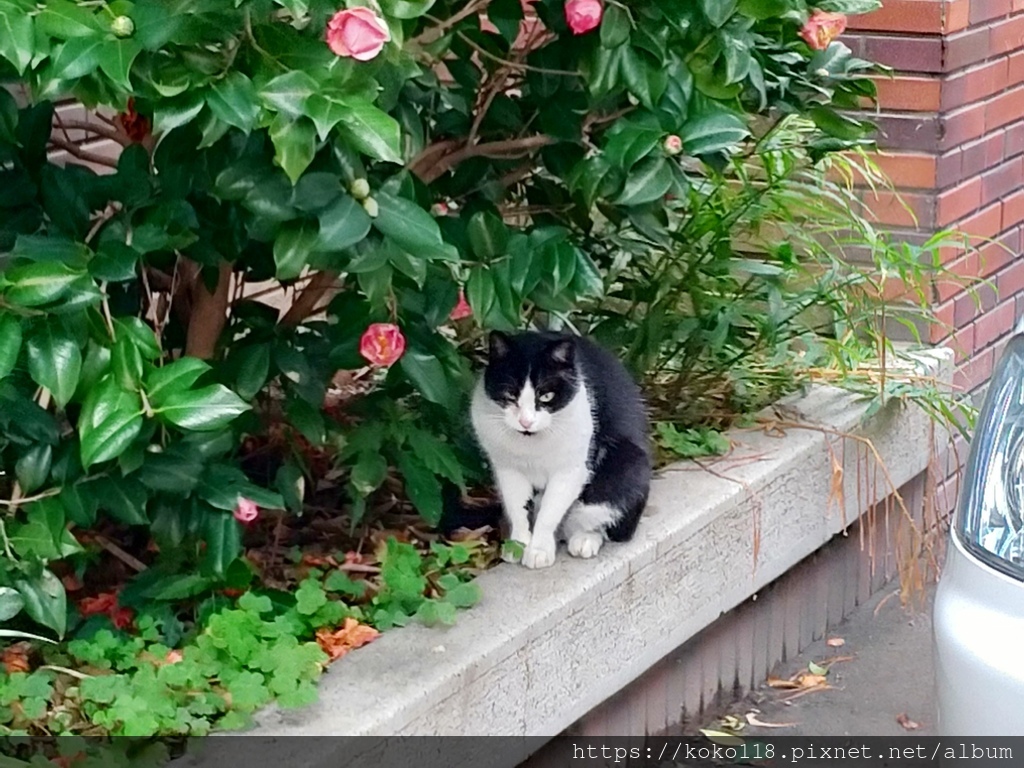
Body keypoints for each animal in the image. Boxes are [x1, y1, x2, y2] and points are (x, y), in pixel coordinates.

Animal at [468, 331, 651, 573]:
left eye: (546, 396)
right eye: (510, 394)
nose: (526, 421)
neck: (531, 444)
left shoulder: (571, 469)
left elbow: (550, 511)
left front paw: (539, 551)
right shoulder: (507, 468)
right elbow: (518, 508)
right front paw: (518, 545)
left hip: (629, 462)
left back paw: (585, 539)